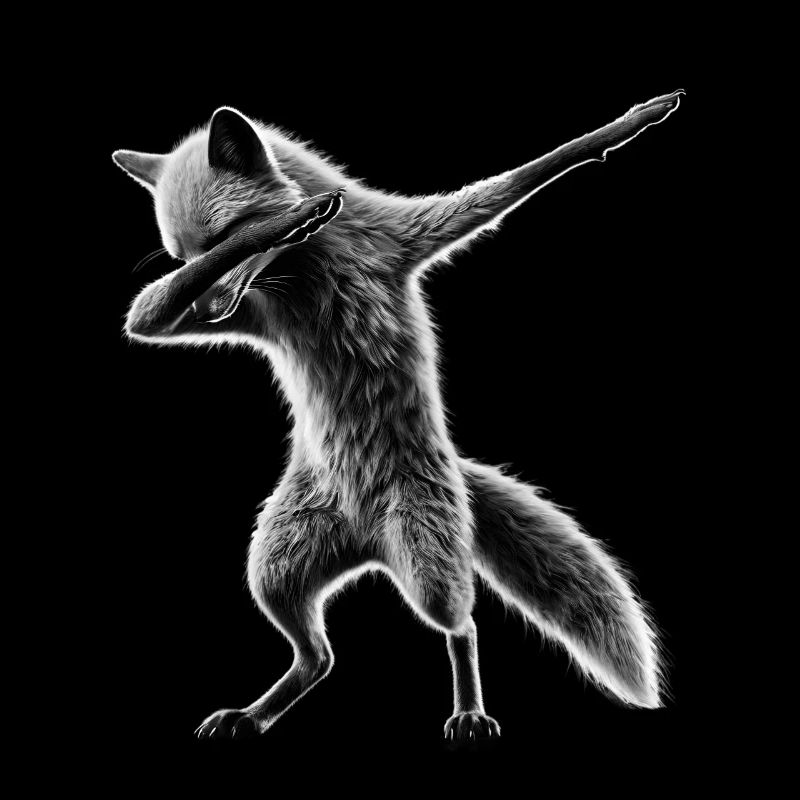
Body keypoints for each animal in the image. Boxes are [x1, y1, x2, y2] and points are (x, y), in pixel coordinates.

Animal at [115, 89, 683, 742]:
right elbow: (144, 315)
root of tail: (366, 539)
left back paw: (469, 709)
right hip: (275, 563)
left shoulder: (407, 235)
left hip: (426, 560)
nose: (207, 314)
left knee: (461, 625)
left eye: (224, 233)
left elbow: (520, 178)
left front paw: (627, 125)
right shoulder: (243, 312)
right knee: (320, 657)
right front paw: (295, 216)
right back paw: (255, 714)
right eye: (183, 256)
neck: (312, 274)